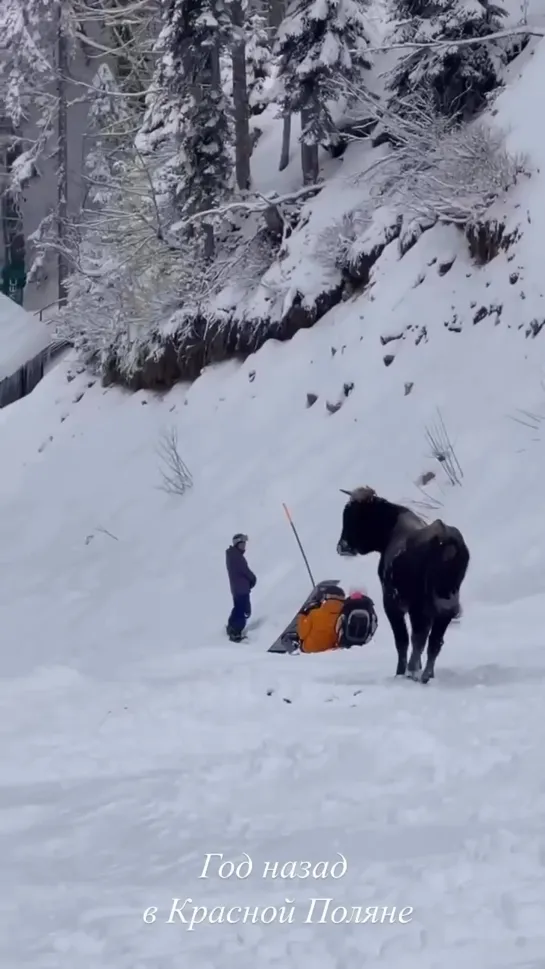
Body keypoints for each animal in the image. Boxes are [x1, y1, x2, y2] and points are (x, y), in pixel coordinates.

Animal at [336, 484, 468, 680]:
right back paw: (426, 674)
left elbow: (402, 640)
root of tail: (445, 540)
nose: (342, 546)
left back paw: (413, 671)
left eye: (355, 514)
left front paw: (400, 671)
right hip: (445, 607)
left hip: (419, 606)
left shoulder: (392, 604)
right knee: (434, 641)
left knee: (418, 637)